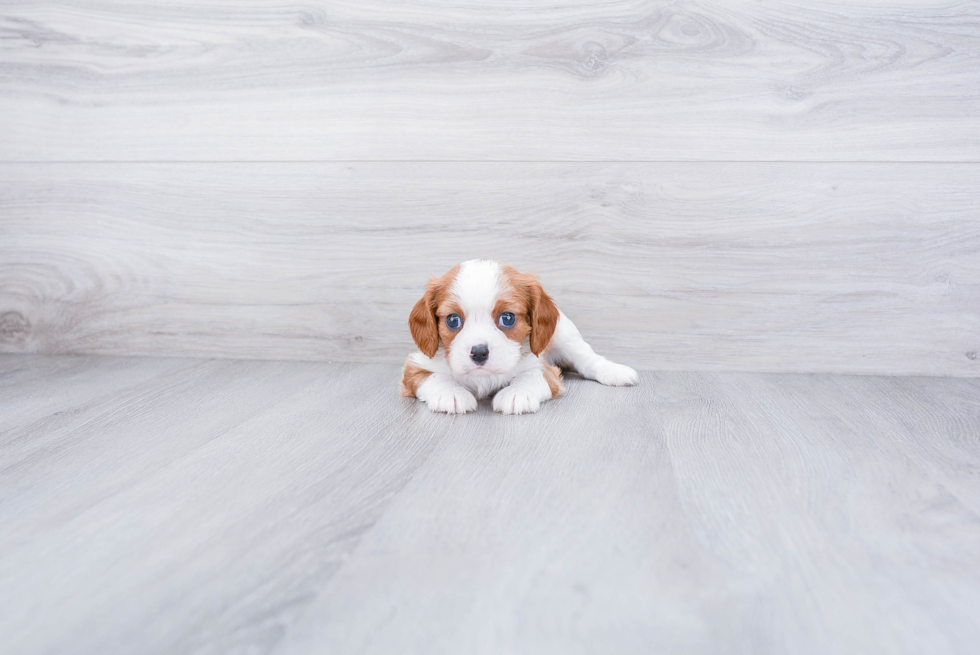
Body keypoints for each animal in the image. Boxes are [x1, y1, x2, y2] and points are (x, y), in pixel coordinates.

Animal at [402, 258, 640, 416]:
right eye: (453, 320)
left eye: (507, 318)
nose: (479, 352)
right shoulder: (414, 368)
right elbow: (434, 376)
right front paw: (450, 393)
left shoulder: (544, 368)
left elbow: (531, 376)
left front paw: (517, 394)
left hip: (565, 336)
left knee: (588, 359)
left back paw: (613, 371)